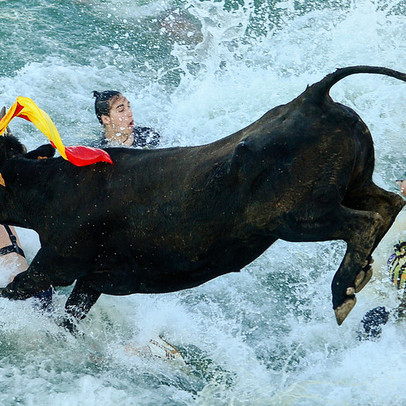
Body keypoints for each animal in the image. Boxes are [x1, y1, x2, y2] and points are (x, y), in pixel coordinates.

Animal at [0, 66, 406, 326]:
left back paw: (342, 291)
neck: (51, 187)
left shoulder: (56, 264)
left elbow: (15, 287)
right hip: (352, 186)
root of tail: (313, 98)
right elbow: (70, 317)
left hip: (296, 215)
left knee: (364, 222)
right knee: (389, 203)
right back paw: (359, 274)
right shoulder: (93, 279)